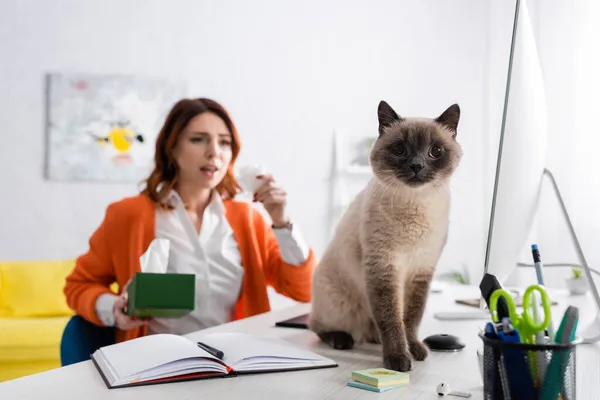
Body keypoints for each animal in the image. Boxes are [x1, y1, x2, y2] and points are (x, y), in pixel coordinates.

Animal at [308, 100, 462, 372]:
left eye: (435, 151)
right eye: (400, 150)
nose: (416, 166)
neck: (415, 206)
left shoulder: (420, 271)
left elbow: (410, 319)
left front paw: (416, 350)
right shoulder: (384, 267)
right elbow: (392, 320)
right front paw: (398, 359)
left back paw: (375, 339)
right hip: (337, 304)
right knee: (317, 327)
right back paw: (342, 340)